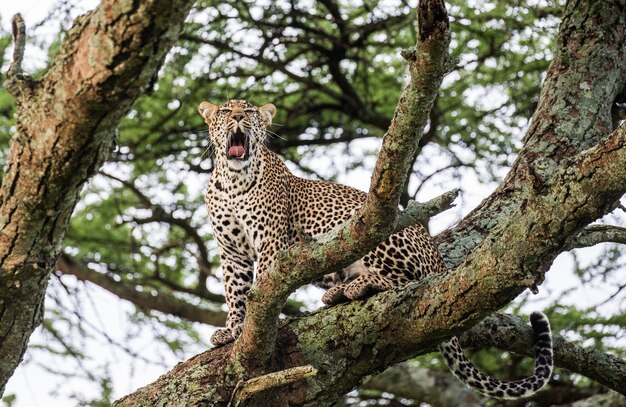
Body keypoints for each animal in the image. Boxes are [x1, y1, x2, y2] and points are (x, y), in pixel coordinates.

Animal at [199, 99, 552, 402]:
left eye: (250, 112)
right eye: (227, 110)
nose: (238, 117)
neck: (233, 180)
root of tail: (438, 261)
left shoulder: (272, 242)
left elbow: (261, 288)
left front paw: (248, 327)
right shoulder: (232, 253)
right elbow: (235, 291)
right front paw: (232, 330)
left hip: (374, 230)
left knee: (408, 284)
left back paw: (360, 285)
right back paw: (337, 292)